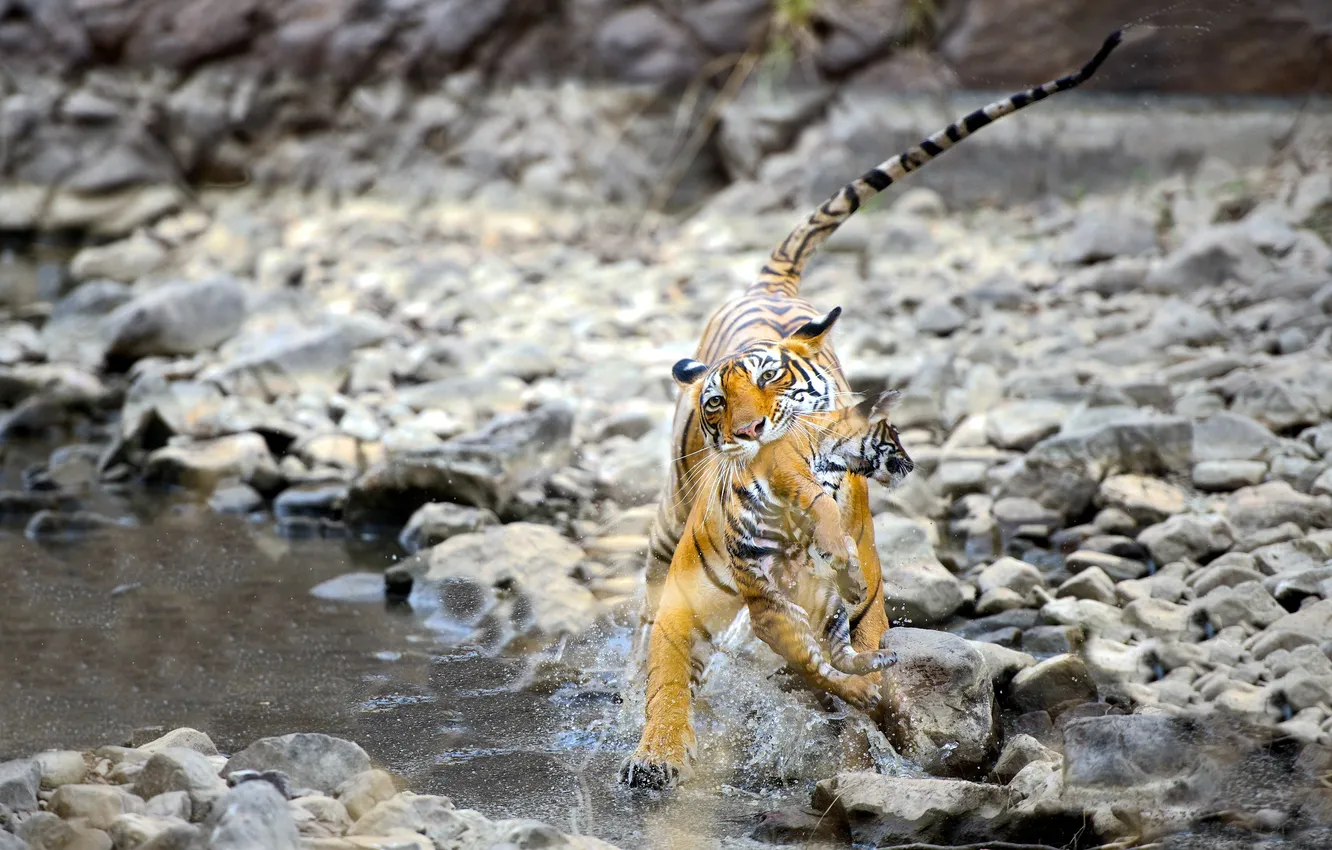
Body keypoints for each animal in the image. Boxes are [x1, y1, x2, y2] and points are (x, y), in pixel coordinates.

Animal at [622, 29, 1125, 790]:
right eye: (718, 402)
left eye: (774, 383)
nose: (749, 431)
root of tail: (768, 287)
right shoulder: (699, 604)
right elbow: (670, 681)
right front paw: (656, 752)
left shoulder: (847, 595)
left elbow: (853, 666)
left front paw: (884, 732)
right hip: (666, 527)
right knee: (649, 619)